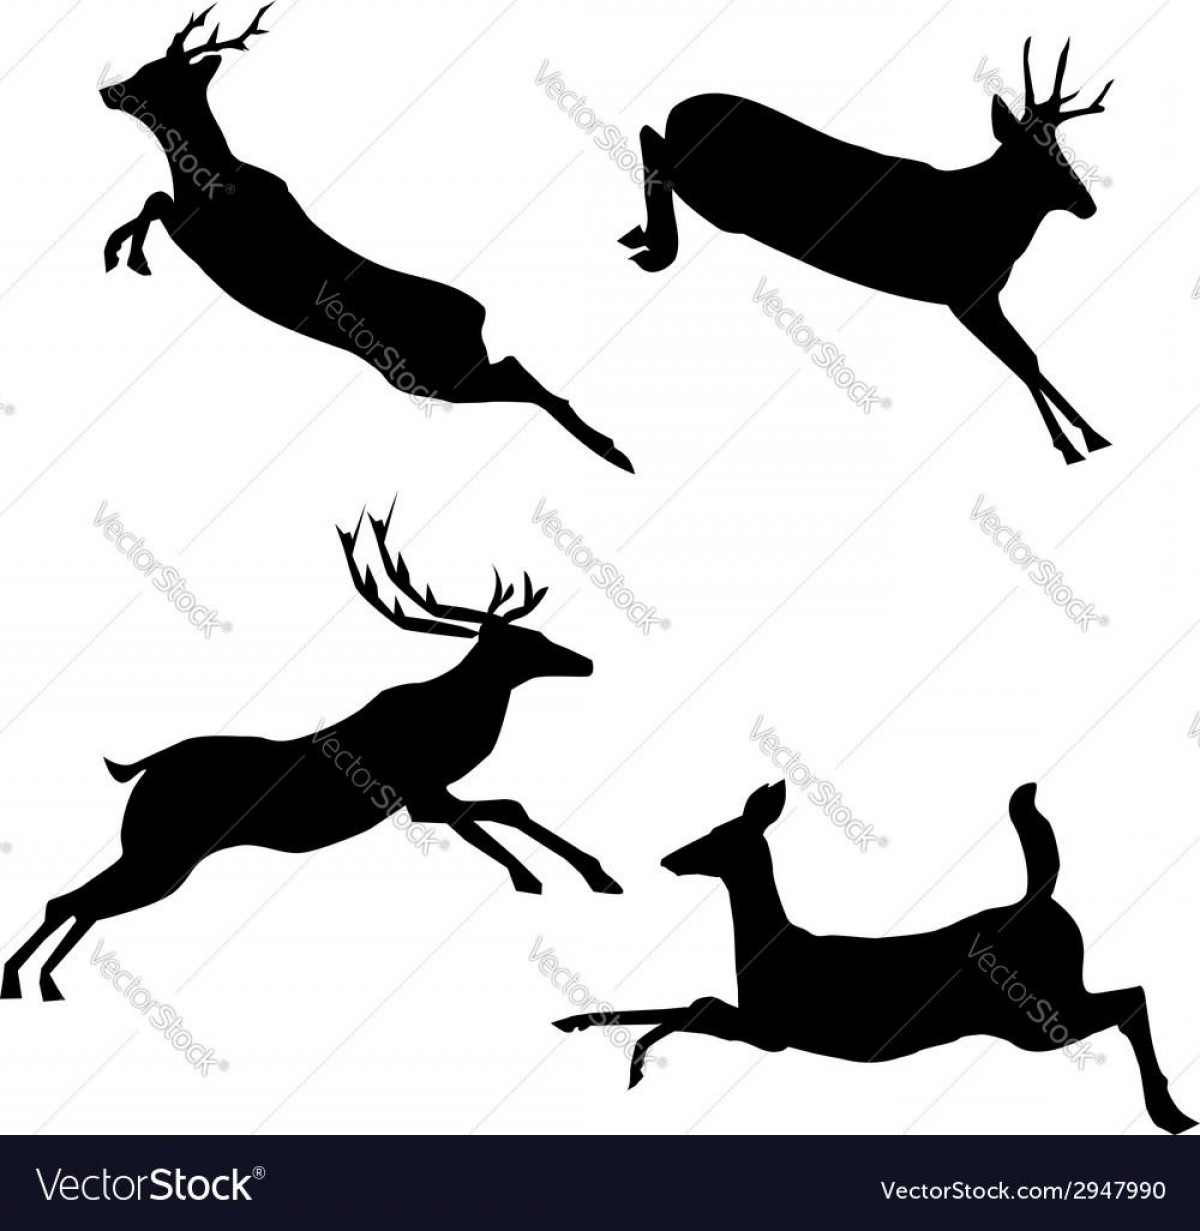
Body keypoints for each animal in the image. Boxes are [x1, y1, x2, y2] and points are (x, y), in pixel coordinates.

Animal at [1, 504, 621, 1002]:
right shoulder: (420, 795)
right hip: (165, 853)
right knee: (78, 900)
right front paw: (551, 876)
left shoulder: (427, 796)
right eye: (527, 640)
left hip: (154, 852)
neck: (455, 726)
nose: (587, 661)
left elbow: (504, 811)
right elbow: (501, 812)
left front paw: (584, 875)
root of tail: (140, 770)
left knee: (72, 900)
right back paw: (31, 981)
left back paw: (35, 984)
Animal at [99, 4, 633, 472]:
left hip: (429, 373)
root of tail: (479, 317)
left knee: (520, 375)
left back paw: (612, 451)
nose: (107, 90)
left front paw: (123, 255)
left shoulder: (205, 235)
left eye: (152, 75)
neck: (202, 174)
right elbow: (153, 199)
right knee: (516, 366)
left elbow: (153, 201)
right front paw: (125, 254)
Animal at [555, 781, 1196, 1134]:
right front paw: (574, 1020)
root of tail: (1040, 899)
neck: (767, 951)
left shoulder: (772, 1029)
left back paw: (1169, 1113)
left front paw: (635, 1063)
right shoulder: (764, 1025)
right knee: (1127, 996)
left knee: (1132, 997)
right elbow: (695, 1000)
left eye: (719, 833)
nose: (670, 858)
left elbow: (699, 1004)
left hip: (1031, 1015)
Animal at [621, 39, 1113, 465]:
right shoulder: (966, 295)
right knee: (648, 139)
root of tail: (678, 110)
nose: (1087, 204)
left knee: (648, 136)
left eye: (1060, 148)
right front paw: (1073, 445)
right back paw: (655, 246)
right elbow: (1024, 361)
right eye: (1042, 154)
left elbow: (1028, 358)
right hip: (713, 193)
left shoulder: (981, 297)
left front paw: (1093, 435)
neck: (990, 218)